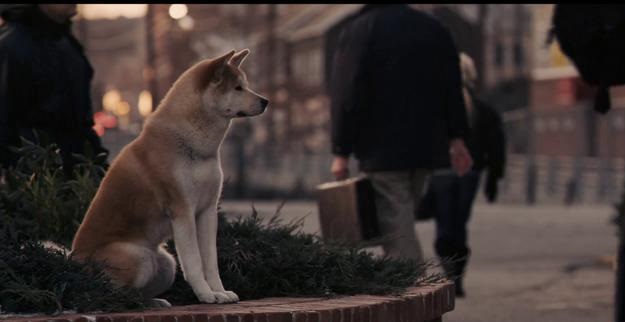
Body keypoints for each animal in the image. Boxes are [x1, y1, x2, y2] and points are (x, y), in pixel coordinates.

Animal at [70, 49, 268, 306]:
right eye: (237, 88)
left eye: (246, 85)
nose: (266, 101)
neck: (192, 146)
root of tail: (72, 261)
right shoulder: (182, 211)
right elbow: (194, 262)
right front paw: (206, 295)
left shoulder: (207, 211)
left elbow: (211, 262)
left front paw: (220, 292)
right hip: (139, 257)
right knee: (114, 293)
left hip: (166, 264)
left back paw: (153, 303)